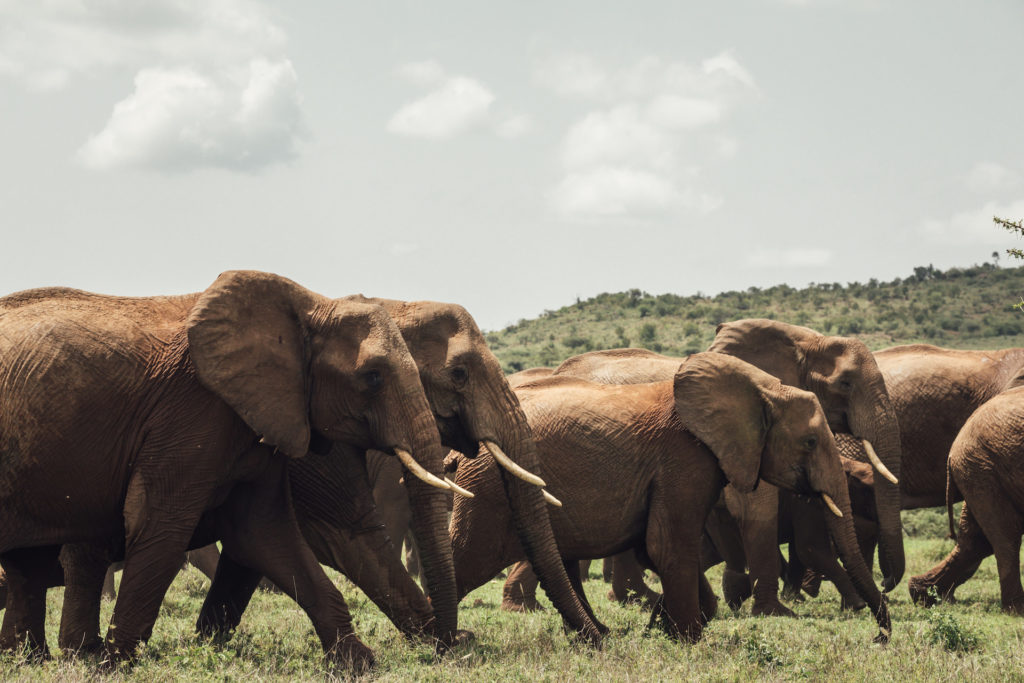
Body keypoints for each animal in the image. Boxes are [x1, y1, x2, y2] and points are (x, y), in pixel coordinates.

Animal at [0, 271, 458, 670]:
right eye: (373, 377)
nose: (447, 648)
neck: (307, 305)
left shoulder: (262, 415)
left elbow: (266, 533)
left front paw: (357, 663)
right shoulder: (188, 412)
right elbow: (159, 526)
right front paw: (113, 667)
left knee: (28, 565)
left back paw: (29, 659)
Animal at [449, 352, 892, 644]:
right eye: (811, 441)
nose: (879, 637)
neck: (763, 387)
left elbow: (659, 548)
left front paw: (662, 624)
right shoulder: (683, 456)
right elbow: (668, 545)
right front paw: (689, 637)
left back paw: (598, 633)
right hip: (488, 488)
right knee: (471, 556)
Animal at [909, 385, 1024, 610]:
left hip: (978, 469)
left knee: (976, 540)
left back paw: (923, 596)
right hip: (982, 467)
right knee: (1006, 536)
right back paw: (1017, 610)